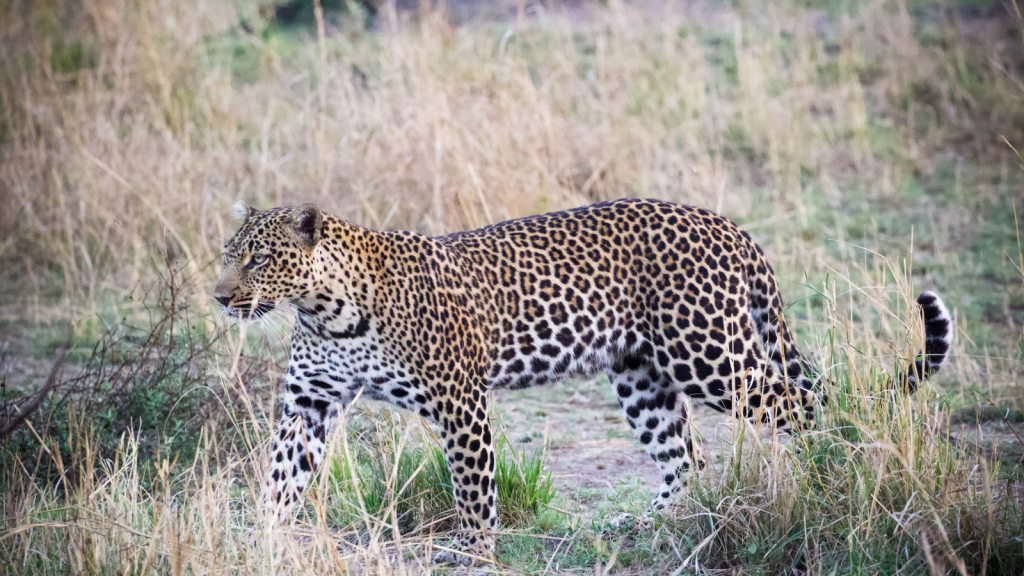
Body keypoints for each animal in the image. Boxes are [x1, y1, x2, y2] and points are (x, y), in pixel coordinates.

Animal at [214, 196, 950, 565]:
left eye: (258, 259)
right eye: (229, 253)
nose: (220, 296)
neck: (326, 308)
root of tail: (730, 225)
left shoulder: (459, 401)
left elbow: (473, 490)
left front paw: (475, 553)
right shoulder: (309, 402)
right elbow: (279, 478)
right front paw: (262, 541)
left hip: (713, 356)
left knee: (809, 407)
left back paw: (840, 479)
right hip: (642, 373)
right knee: (686, 454)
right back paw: (650, 526)